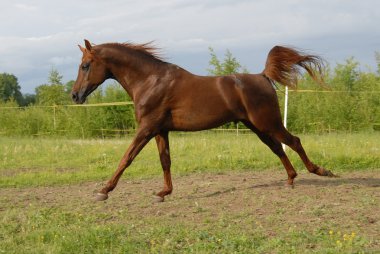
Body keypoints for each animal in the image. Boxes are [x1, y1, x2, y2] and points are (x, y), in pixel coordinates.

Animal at [71, 39, 336, 202]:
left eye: (85, 65)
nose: (75, 96)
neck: (150, 80)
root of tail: (263, 76)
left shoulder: (146, 128)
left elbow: (127, 158)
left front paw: (104, 191)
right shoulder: (160, 130)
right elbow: (165, 161)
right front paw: (163, 192)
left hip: (268, 123)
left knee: (293, 141)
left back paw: (321, 171)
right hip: (258, 127)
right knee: (278, 148)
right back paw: (291, 179)